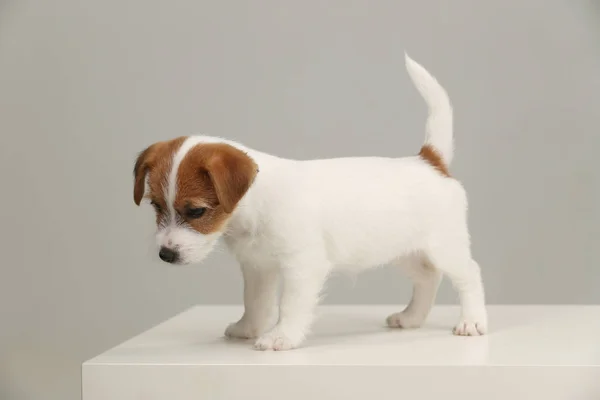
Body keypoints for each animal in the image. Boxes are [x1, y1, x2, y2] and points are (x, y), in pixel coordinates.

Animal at [132, 52, 488, 350]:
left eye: (196, 211)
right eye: (156, 206)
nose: (166, 254)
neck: (254, 207)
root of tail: (429, 161)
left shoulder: (302, 265)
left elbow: (290, 305)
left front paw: (281, 337)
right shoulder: (257, 267)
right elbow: (255, 301)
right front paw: (249, 328)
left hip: (444, 246)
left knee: (469, 273)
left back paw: (472, 321)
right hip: (404, 250)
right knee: (428, 277)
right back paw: (411, 317)